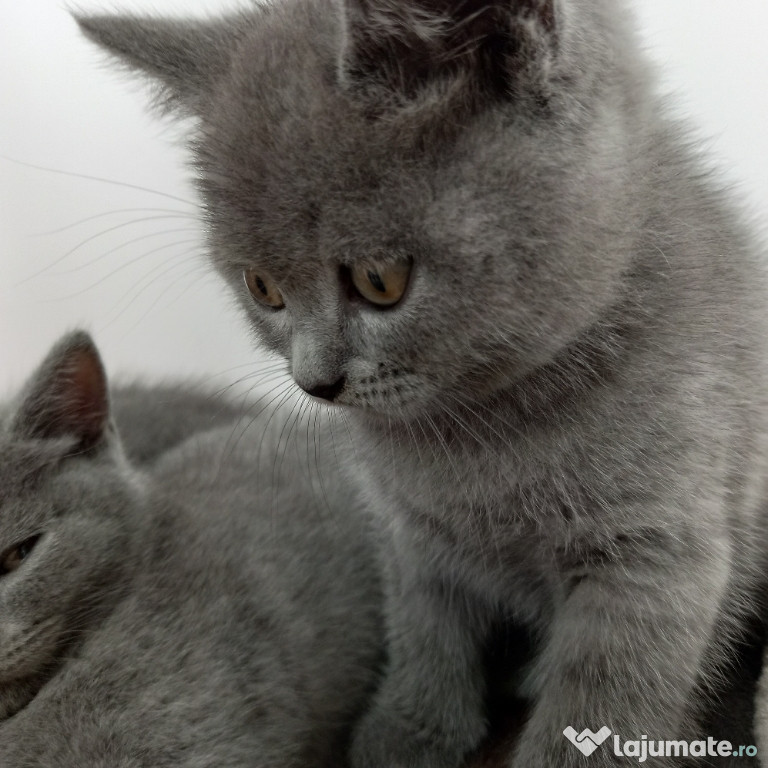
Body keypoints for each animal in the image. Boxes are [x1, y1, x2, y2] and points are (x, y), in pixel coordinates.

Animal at [76, 1, 768, 768]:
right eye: (264, 289)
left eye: (380, 280)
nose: (315, 381)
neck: (479, 438)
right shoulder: (407, 530)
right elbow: (424, 633)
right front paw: (407, 734)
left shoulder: (654, 556)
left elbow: (600, 704)